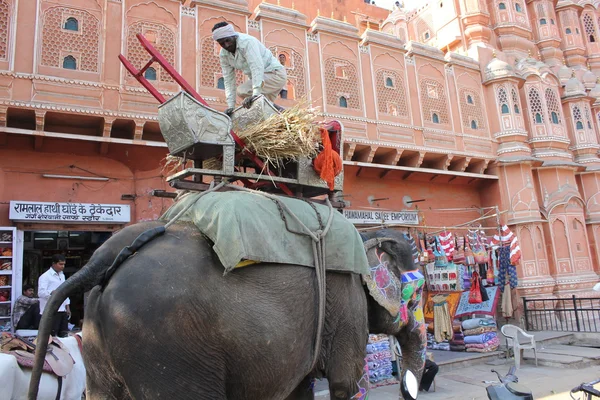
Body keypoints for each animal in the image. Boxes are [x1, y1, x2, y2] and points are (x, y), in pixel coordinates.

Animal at [29, 219, 426, 400]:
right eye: (416, 296)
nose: (409, 389)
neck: (365, 232)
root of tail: (103, 257)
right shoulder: (345, 306)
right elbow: (347, 384)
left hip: (99, 342)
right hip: (167, 343)